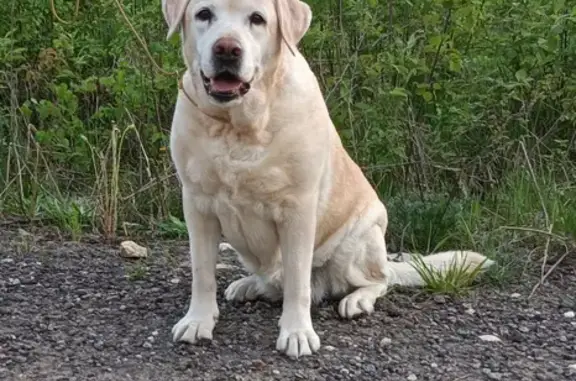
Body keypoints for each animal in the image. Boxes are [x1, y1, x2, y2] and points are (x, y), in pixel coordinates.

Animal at [161, 0, 490, 358]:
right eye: (204, 14)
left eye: (258, 19)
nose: (227, 49)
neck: (240, 125)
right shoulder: (197, 205)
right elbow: (202, 273)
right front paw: (198, 321)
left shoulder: (298, 209)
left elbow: (297, 282)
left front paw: (297, 333)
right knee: (275, 281)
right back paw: (250, 285)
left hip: (359, 239)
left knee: (378, 279)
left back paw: (357, 299)